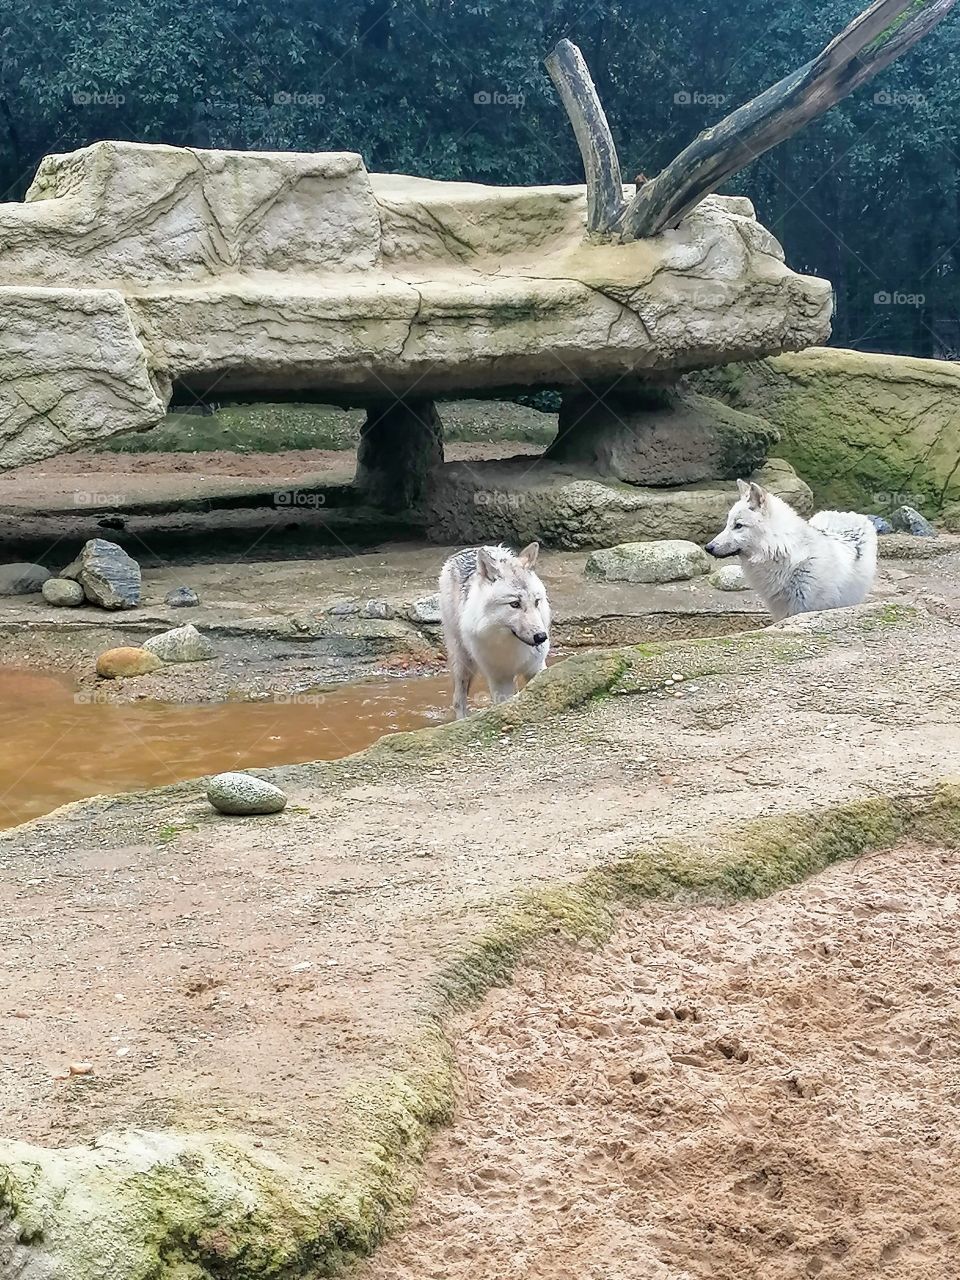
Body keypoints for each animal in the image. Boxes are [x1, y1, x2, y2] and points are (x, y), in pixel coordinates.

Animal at [439, 543, 551, 719]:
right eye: (514, 604)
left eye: (536, 602)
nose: (541, 637)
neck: (511, 646)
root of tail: (465, 550)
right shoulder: (499, 679)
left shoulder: (536, 668)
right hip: (462, 662)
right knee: (458, 700)